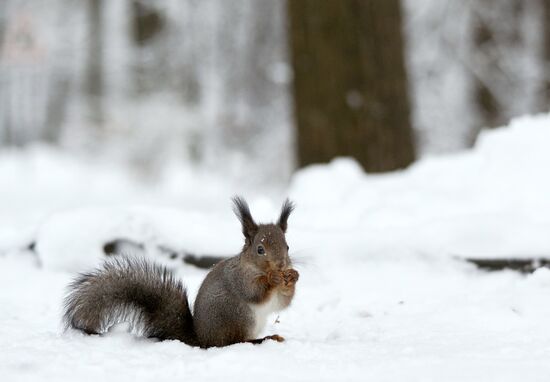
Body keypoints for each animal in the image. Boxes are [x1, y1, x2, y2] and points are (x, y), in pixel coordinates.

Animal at [63, 197, 302, 350]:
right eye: (260, 250)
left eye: (288, 246)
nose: (282, 264)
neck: (253, 266)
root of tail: (201, 338)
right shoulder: (239, 279)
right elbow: (254, 292)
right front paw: (272, 278)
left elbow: (282, 303)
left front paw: (293, 277)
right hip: (237, 316)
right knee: (230, 342)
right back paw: (259, 340)